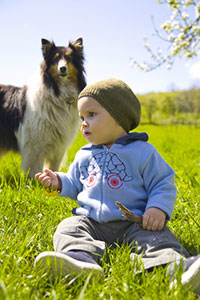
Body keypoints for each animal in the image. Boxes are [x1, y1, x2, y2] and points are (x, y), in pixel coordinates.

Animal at [0, 37, 86, 178]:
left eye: (69, 57)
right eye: (55, 58)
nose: (62, 68)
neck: (58, 94)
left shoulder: (59, 148)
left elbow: (53, 169)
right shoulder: (34, 146)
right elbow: (35, 171)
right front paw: (35, 182)